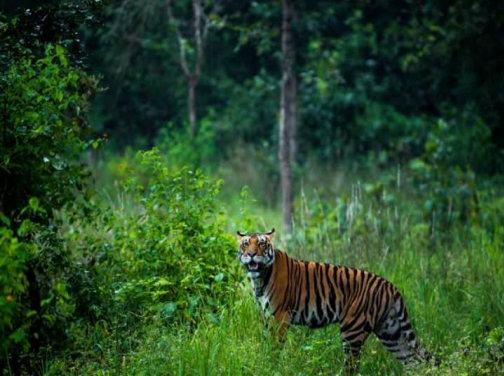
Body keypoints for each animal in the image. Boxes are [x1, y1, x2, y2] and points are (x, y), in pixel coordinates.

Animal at [236, 228, 434, 372]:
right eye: (246, 244)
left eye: (261, 243)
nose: (251, 254)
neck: (259, 279)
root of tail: (390, 286)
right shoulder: (266, 316)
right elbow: (266, 341)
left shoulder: (280, 316)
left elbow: (275, 345)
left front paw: (271, 365)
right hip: (390, 331)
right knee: (411, 359)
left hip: (352, 330)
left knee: (352, 366)